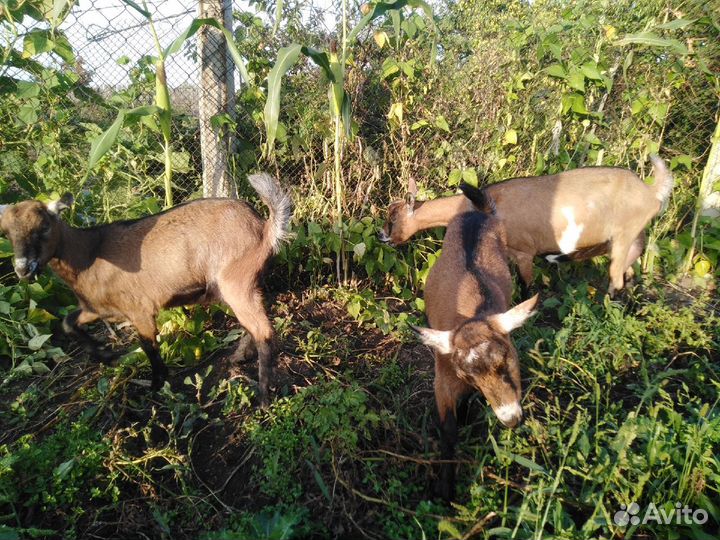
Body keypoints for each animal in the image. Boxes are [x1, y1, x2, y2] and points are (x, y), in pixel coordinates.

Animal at [0, 173, 291, 406]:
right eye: (6, 233)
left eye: (44, 226)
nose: (23, 269)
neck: (89, 253)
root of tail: (264, 227)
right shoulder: (98, 308)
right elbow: (68, 323)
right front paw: (107, 355)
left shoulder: (139, 309)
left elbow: (149, 346)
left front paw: (156, 385)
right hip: (239, 287)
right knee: (253, 325)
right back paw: (240, 358)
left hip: (236, 283)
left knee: (264, 331)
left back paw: (263, 398)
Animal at [381, 156, 673, 296]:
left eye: (393, 218)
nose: (382, 235)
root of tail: (650, 191)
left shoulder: (524, 253)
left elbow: (525, 289)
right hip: (631, 239)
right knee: (629, 272)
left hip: (624, 237)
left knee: (617, 280)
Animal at [410, 183, 538, 501]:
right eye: (469, 374)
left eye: (507, 361)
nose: (511, 419)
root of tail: (478, 213)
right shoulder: (443, 377)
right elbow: (449, 430)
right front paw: (445, 489)